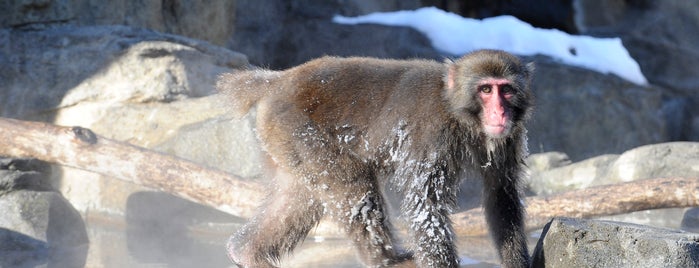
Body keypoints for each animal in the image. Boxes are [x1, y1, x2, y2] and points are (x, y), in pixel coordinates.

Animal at [219, 49, 536, 266]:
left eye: (506, 90)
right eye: (486, 89)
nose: (500, 112)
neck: (457, 112)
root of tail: (278, 80)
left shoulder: (510, 138)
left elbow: (501, 196)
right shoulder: (431, 135)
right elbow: (426, 206)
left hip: (285, 141)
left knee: (299, 199)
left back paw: (245, 252)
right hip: (298, 131)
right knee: (355, 192)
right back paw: (388, 260)